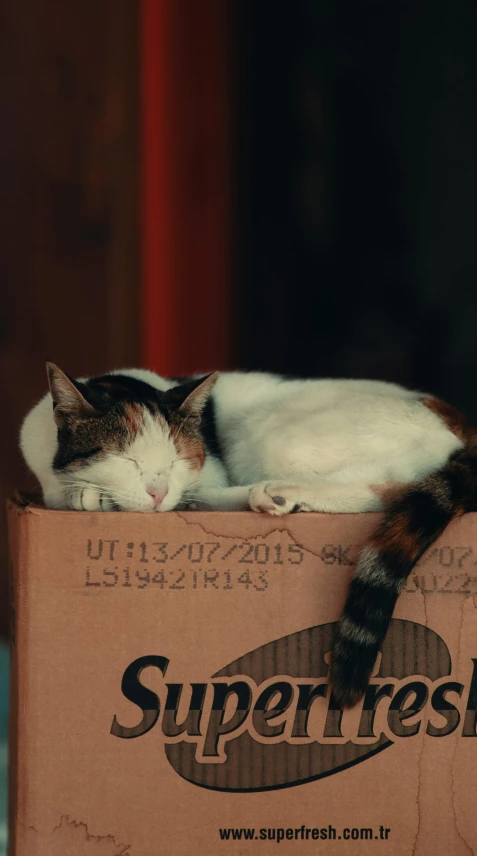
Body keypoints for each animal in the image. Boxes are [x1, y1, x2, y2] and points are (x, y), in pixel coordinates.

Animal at [20, 362, 474, 704]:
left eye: (176, 461)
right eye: (127, 460)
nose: (159, 492)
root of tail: (462, 425)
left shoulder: (209, 472)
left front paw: (100, 497)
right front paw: (90, 494)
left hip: (272, 435)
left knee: (387, 486)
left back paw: (273, 494)